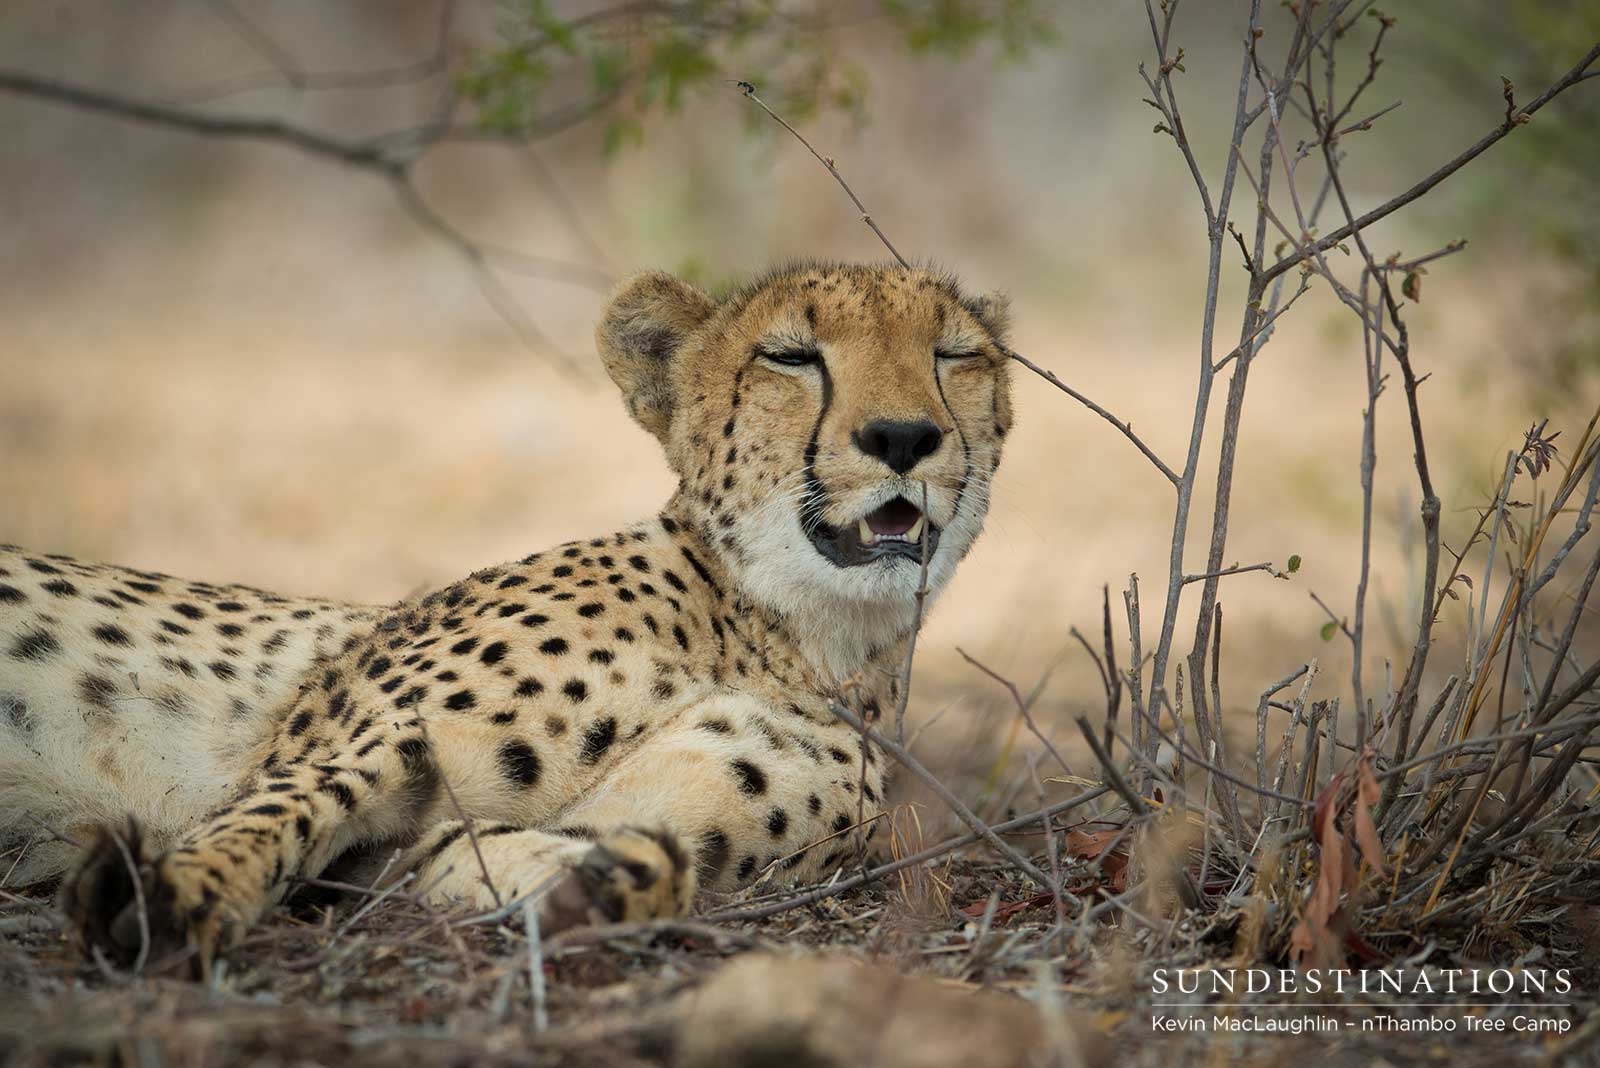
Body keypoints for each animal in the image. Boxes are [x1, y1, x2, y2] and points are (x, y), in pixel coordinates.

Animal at [0, 261, 1014, 976]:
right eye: (792, 357)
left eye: (953, 355)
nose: (902, 438)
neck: (778, 635)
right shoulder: (352, 744)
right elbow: (271, 814)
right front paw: (172, 897)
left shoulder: (394, 859)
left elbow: (499, 851)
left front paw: (598, 888)